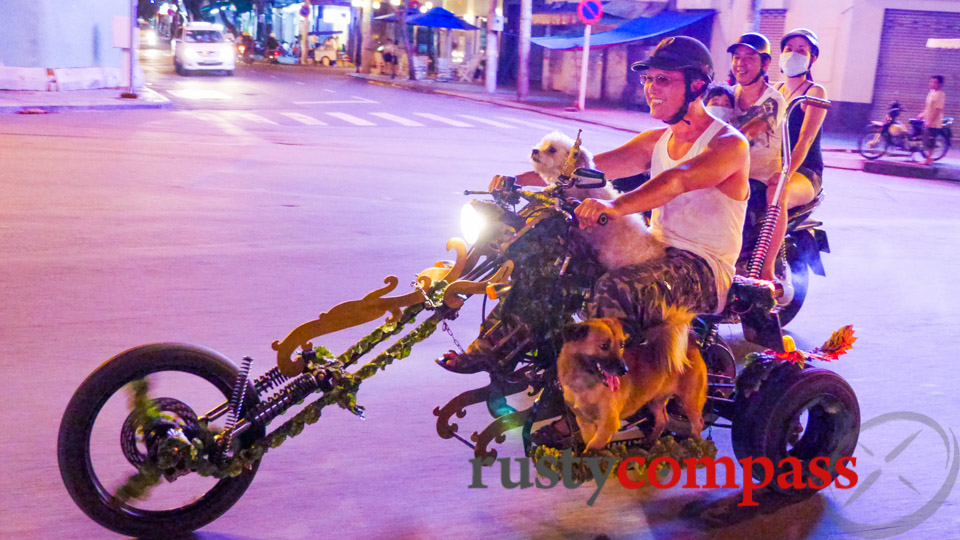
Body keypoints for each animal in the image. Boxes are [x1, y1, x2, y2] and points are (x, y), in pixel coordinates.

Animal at [560, 310, 708, 454]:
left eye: (621, 345)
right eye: (604, 346)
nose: (624, 370)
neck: (585, 382)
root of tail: (691, 345)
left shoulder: (608, 425)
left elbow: (591, 447)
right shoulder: (585, 423)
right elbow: (589, 442)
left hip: (690, 401)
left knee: (698, 423)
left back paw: (694, 444)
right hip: (656, 400)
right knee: (662, 420)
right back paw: (648, 443)